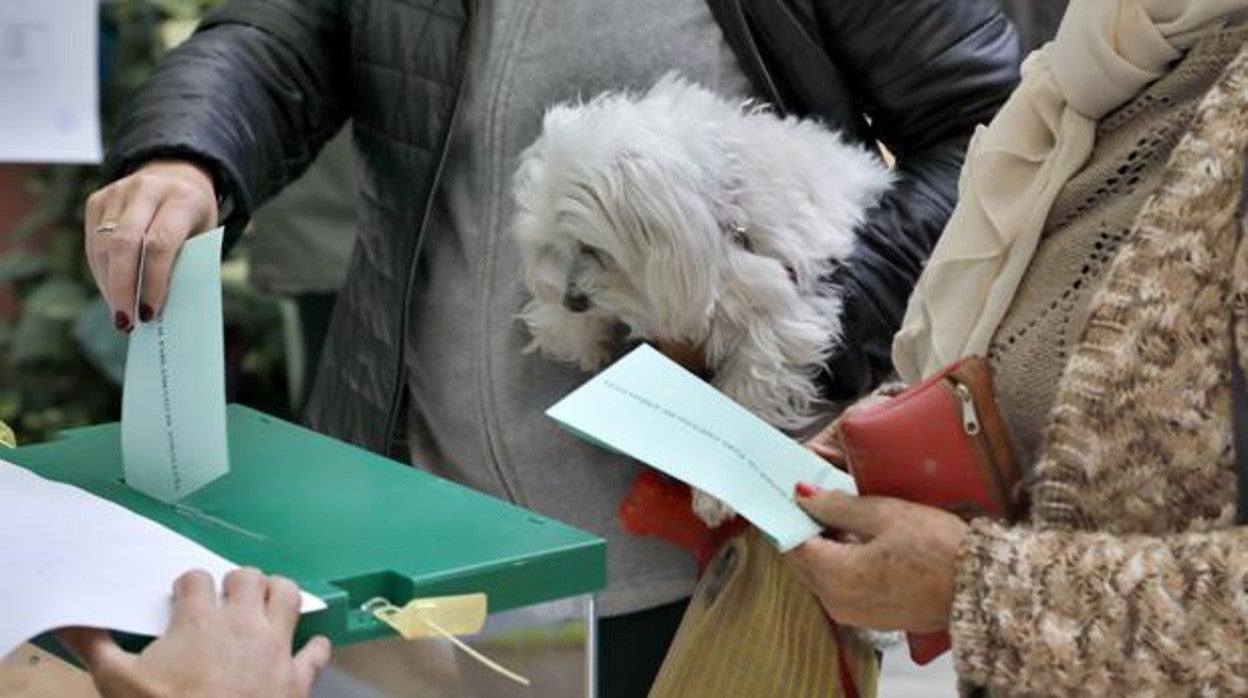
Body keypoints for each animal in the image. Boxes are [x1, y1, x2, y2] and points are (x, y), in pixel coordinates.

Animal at [511, 76, 893, 524]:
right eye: (553, 246)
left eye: (591, 247)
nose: (573, 302)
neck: (721, 213)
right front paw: (569, 330)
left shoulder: (782, 310)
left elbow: (747, 384)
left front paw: (716, 489)